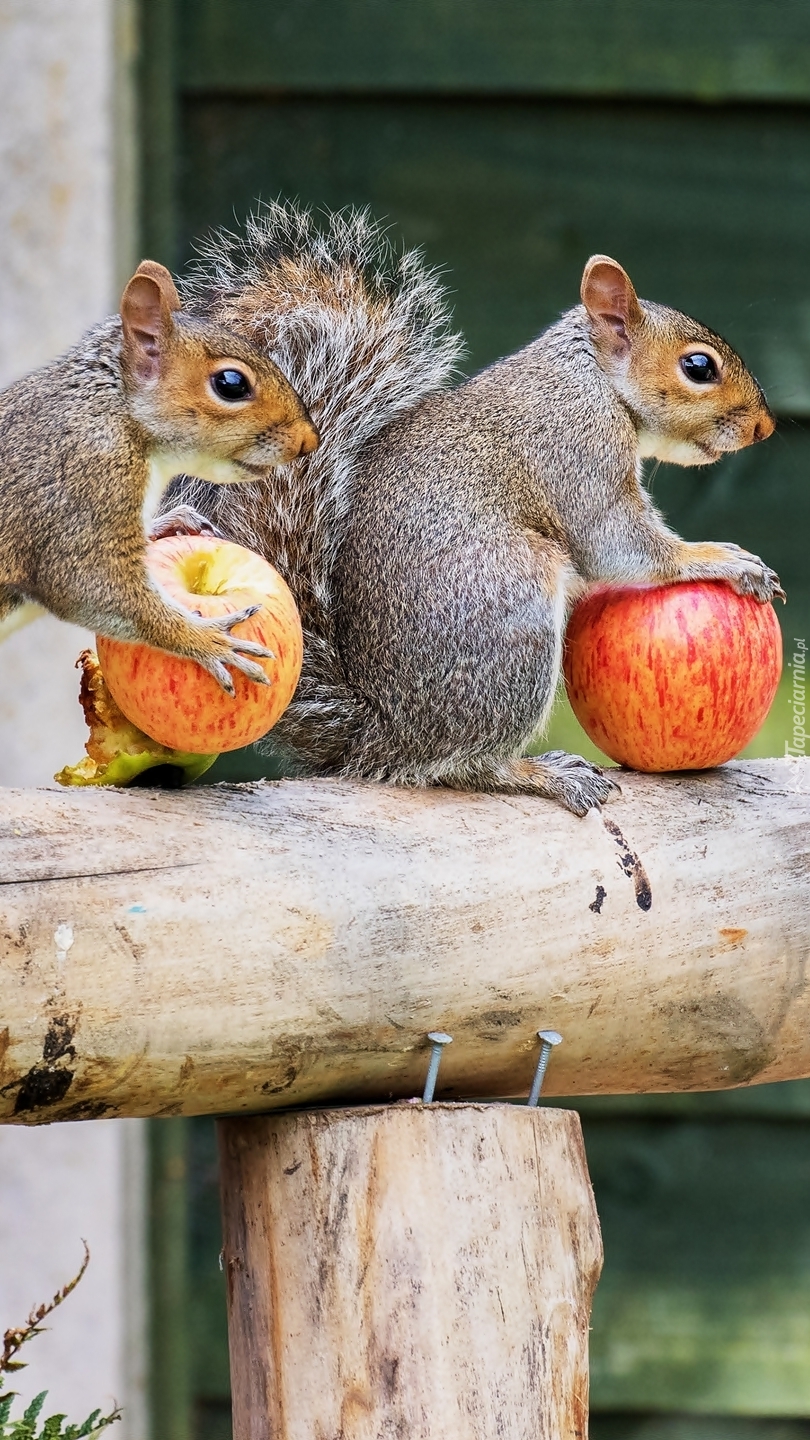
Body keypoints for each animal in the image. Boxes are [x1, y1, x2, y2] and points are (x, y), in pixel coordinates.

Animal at [0, 262, 318, 694]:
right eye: (231, 384)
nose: (309, 441)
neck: (120, 413)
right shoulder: (80, 486)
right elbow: (92, 585)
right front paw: (207, 640)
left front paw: (172, 523)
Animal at [159, 203, 784, 812]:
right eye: (699, 367)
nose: (766, 427)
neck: (593, 379)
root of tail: (385, 733)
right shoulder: (579, 451)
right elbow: (619, 545)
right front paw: (722, 559)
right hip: (514, 613)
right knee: (462, 764)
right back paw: (540, 773)